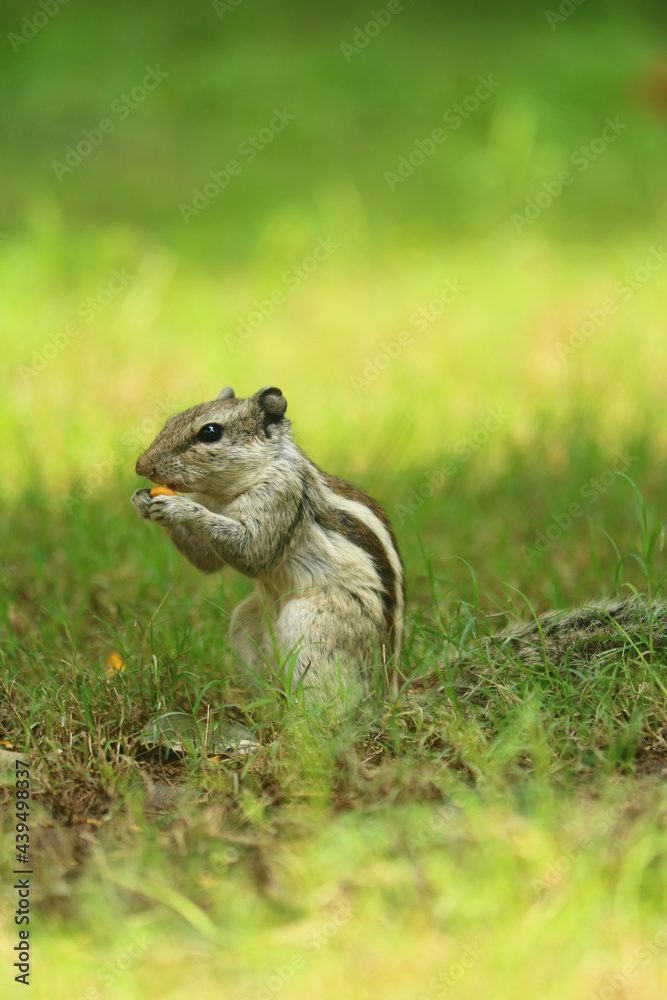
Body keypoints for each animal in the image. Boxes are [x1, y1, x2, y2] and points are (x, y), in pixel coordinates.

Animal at [131, 385, 406, 701]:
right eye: (171, 420)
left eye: (210, 432)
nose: (141, 465)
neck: (226, 494)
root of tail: (388, 688)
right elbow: (207, 561)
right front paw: (140, 500)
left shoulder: (282, 494)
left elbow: (253, 553)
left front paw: (178, 507)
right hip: (247, 623)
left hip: (311, 627)